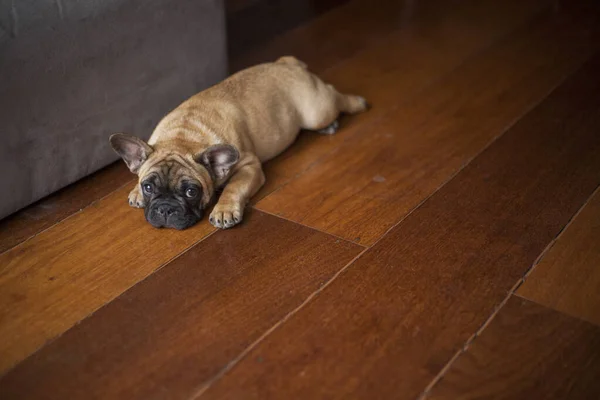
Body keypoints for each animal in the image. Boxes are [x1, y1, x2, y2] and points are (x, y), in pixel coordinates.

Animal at [110, 57, 368, 230]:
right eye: (148, 187)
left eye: (192, 192)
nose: (165, 208)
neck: (183, 136)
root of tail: (288, 63)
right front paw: (135, 191)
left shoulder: (249, 166)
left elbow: (233, 187)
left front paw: (224, 210)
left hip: (316, 111)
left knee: (335, 97)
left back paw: (356, 103)